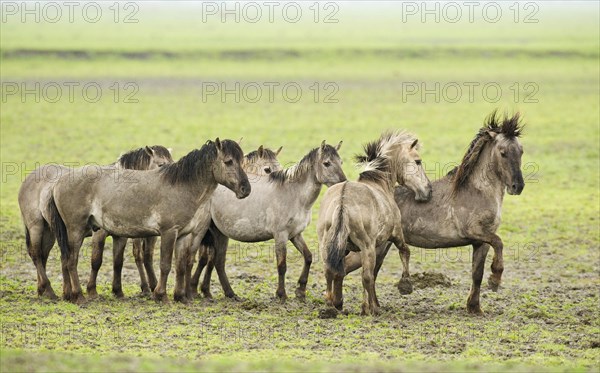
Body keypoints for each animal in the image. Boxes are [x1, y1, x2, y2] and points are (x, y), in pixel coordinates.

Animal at [17, 145, 172, 300]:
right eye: (161, 164)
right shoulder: (99, 234)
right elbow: (96, 261)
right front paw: (92, 291)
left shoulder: (121, 236)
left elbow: (118, 262)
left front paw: (118, 291)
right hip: (36, 227)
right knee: (37, 255)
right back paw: (49, 290)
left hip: (51, 232)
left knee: (46, 256)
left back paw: (46, 291)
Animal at [47, 139, 251, 302]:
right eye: (228, 161)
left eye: (242, 161)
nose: (246, 189)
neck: (181, 187)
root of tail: (59, 182)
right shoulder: (168, 232)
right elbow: (165, 265)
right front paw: (161, 295)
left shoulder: (184, 236)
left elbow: (181, 265)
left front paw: (181, 297)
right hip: (76, 230)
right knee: (71, 261)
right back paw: (78, 296)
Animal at [318, 131, 432, 314]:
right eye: (418, 161)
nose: (428, 190)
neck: (378, 183)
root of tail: (343, 200)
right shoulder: (395, 235)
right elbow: (404, 252)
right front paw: (405, 285)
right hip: (367, 247)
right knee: (366, 276)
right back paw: (371, 309)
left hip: (326, 245)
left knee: (330, 271)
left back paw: (330, 307)